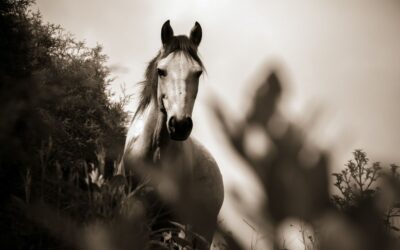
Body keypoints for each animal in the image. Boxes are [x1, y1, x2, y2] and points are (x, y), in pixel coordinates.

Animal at [120, 21, 223, 248]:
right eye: (161, 71)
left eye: (197, 73)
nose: (180, 125)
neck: (154, 150)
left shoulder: (166, 218)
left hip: (199, 233)